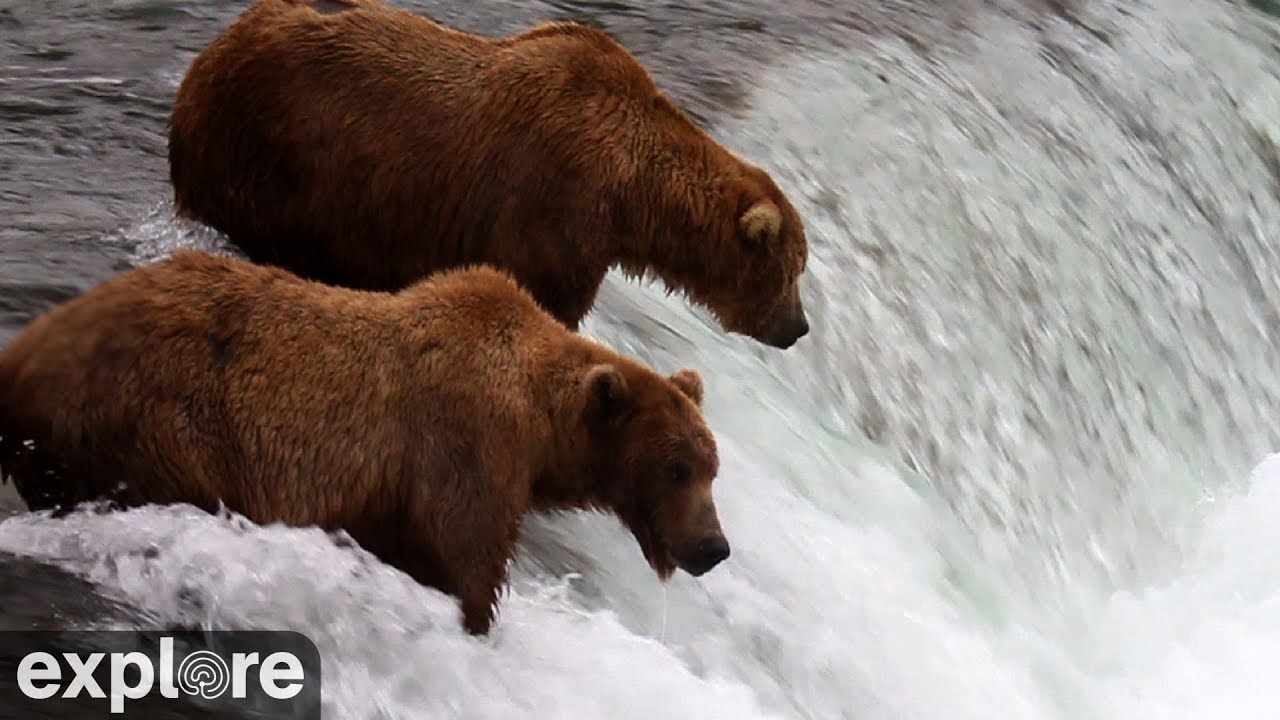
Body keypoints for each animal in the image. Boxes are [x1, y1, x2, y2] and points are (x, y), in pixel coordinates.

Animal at [0, 251, 729, 635]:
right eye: (676, 468)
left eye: (710, 468)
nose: (714, 546)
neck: (540, 426)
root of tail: (21, 353)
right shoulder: (465, 448)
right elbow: (468, 563)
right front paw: (477, 622)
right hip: (159, 424)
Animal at [167, 0, 810, 349]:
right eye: (791, 271)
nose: (799, 328)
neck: (631, 196)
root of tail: (206, 60)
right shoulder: (551, 212)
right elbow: (546, 303)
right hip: (268, 162)